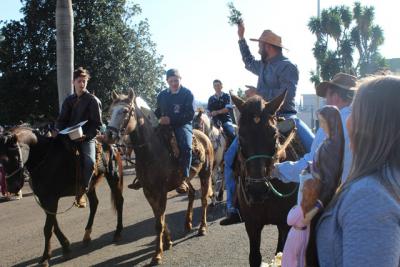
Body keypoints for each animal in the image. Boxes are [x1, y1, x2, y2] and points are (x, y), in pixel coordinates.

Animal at [0, 127, 124, 267]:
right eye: (1, 160)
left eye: (15, 157)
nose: (12, 188)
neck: (44, 159)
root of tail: (112, 144)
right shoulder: (45, 199)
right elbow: (54, 225)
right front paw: (65, 247)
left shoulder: (51, 199)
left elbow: (48, 228)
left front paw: (45, 258)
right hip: (90, 185)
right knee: (94, 204)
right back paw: (87, 236)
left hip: (113, 177)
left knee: (119, 201)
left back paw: (118, 232)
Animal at [104, 90, 214, 266]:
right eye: (110, 111)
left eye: (125, 111)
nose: (108, 135)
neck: (151, 152)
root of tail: (203, 136)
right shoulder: (148, 192)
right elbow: (159, 218)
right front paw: (167, 242)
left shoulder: (161, 192)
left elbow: (159, 223)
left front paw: (157, 255)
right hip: (186, 179)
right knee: (191, 194)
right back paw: (188, 223)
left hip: (205, 174)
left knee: (203, 199)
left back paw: (202, 228)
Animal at [230, 92, 304, 267]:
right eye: (240, 136)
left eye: (273, 134)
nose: (257, 190)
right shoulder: (252, 225)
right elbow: (255, 257)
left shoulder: (285, 224)